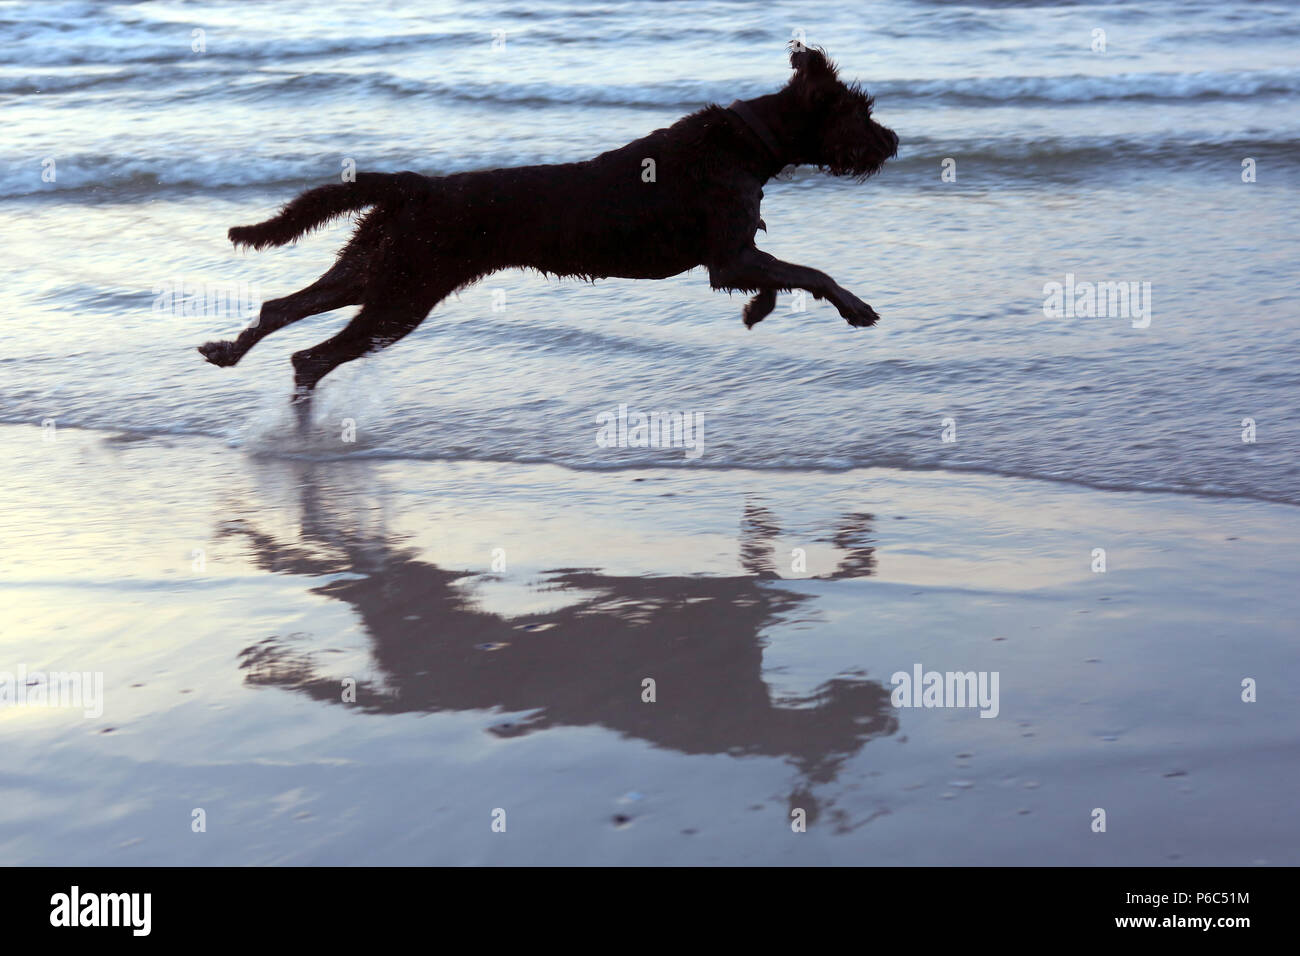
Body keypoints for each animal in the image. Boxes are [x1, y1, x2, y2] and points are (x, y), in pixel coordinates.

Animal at [200, 46, 894, 405]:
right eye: (860, 112)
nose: (893, 141)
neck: (750, 142)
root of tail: (419, 186)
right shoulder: (729, 255)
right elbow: (810, 272)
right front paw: (854, 306)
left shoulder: (732, 257)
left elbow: (777, 277)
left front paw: (757, 310)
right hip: (404, 292)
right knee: (311, 354)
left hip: (375, 264)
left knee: (284, 307)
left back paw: (229, 352)